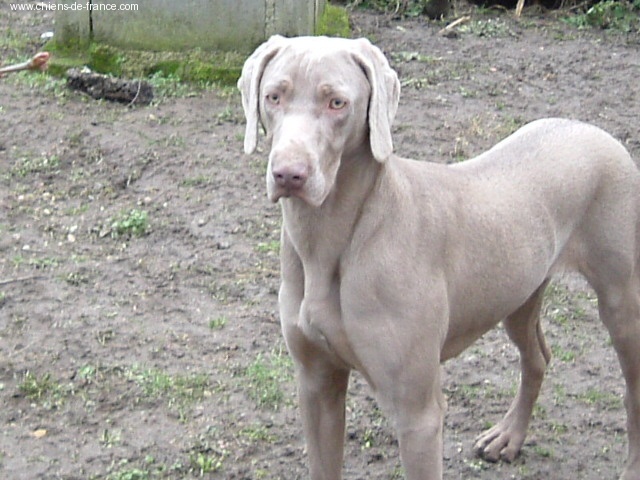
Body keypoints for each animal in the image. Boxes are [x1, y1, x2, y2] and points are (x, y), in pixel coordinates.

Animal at [238, 35, 640, 480]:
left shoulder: (418, 414)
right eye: (274, 96)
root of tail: (592, 129)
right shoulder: (316, 384)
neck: (332, 240)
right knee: (537, 356)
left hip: (621, 300)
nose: (288, 174)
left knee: (631, 389)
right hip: (517, 291)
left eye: (337, 103)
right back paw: (508, 437)